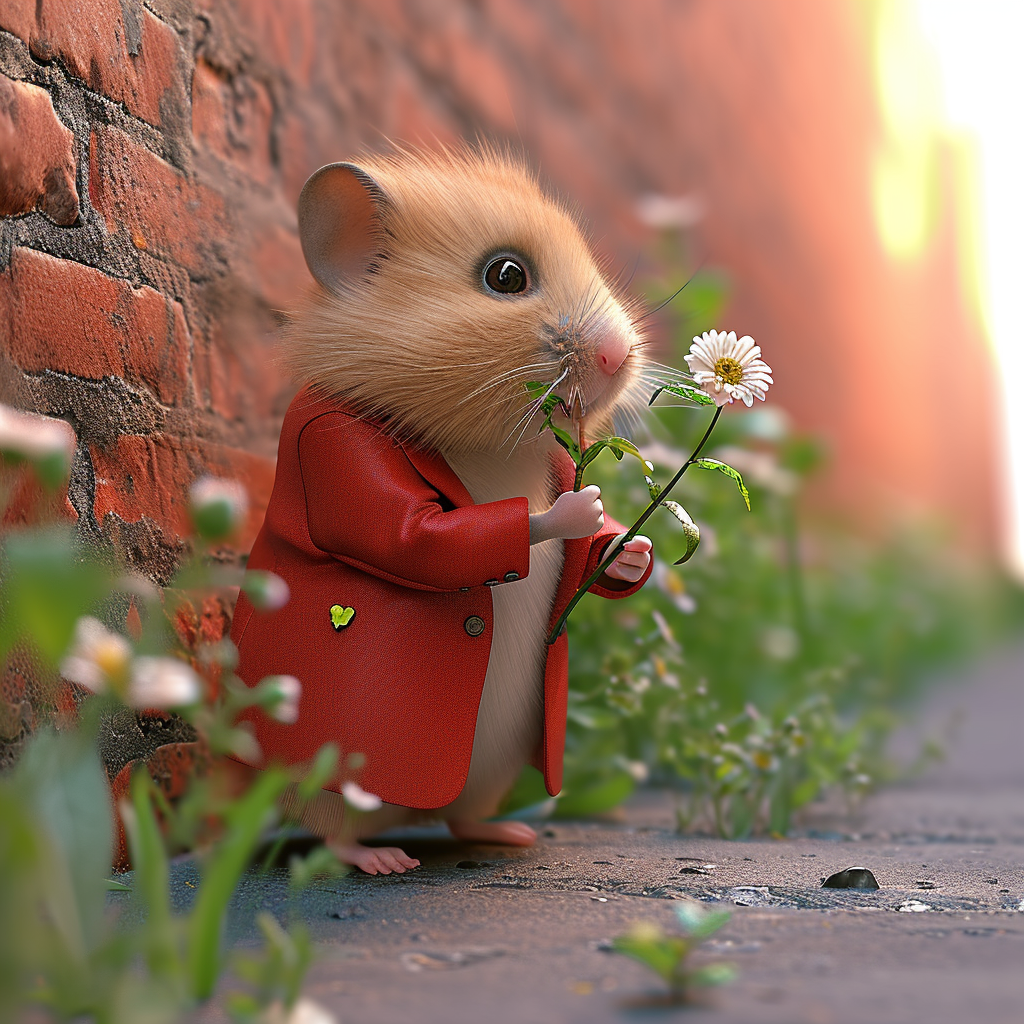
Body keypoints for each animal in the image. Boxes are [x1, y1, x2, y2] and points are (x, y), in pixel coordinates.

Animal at [231, 146, 651, 872]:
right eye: (506, 275)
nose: (618, 354)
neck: (490, 449)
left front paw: (632, 548)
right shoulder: (346, 459)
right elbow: (430, 538)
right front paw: (580, 509)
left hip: (497, 762)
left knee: (460, 816)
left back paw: (511, 836)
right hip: (338, 769)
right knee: (330, 825)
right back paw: (386, 861)